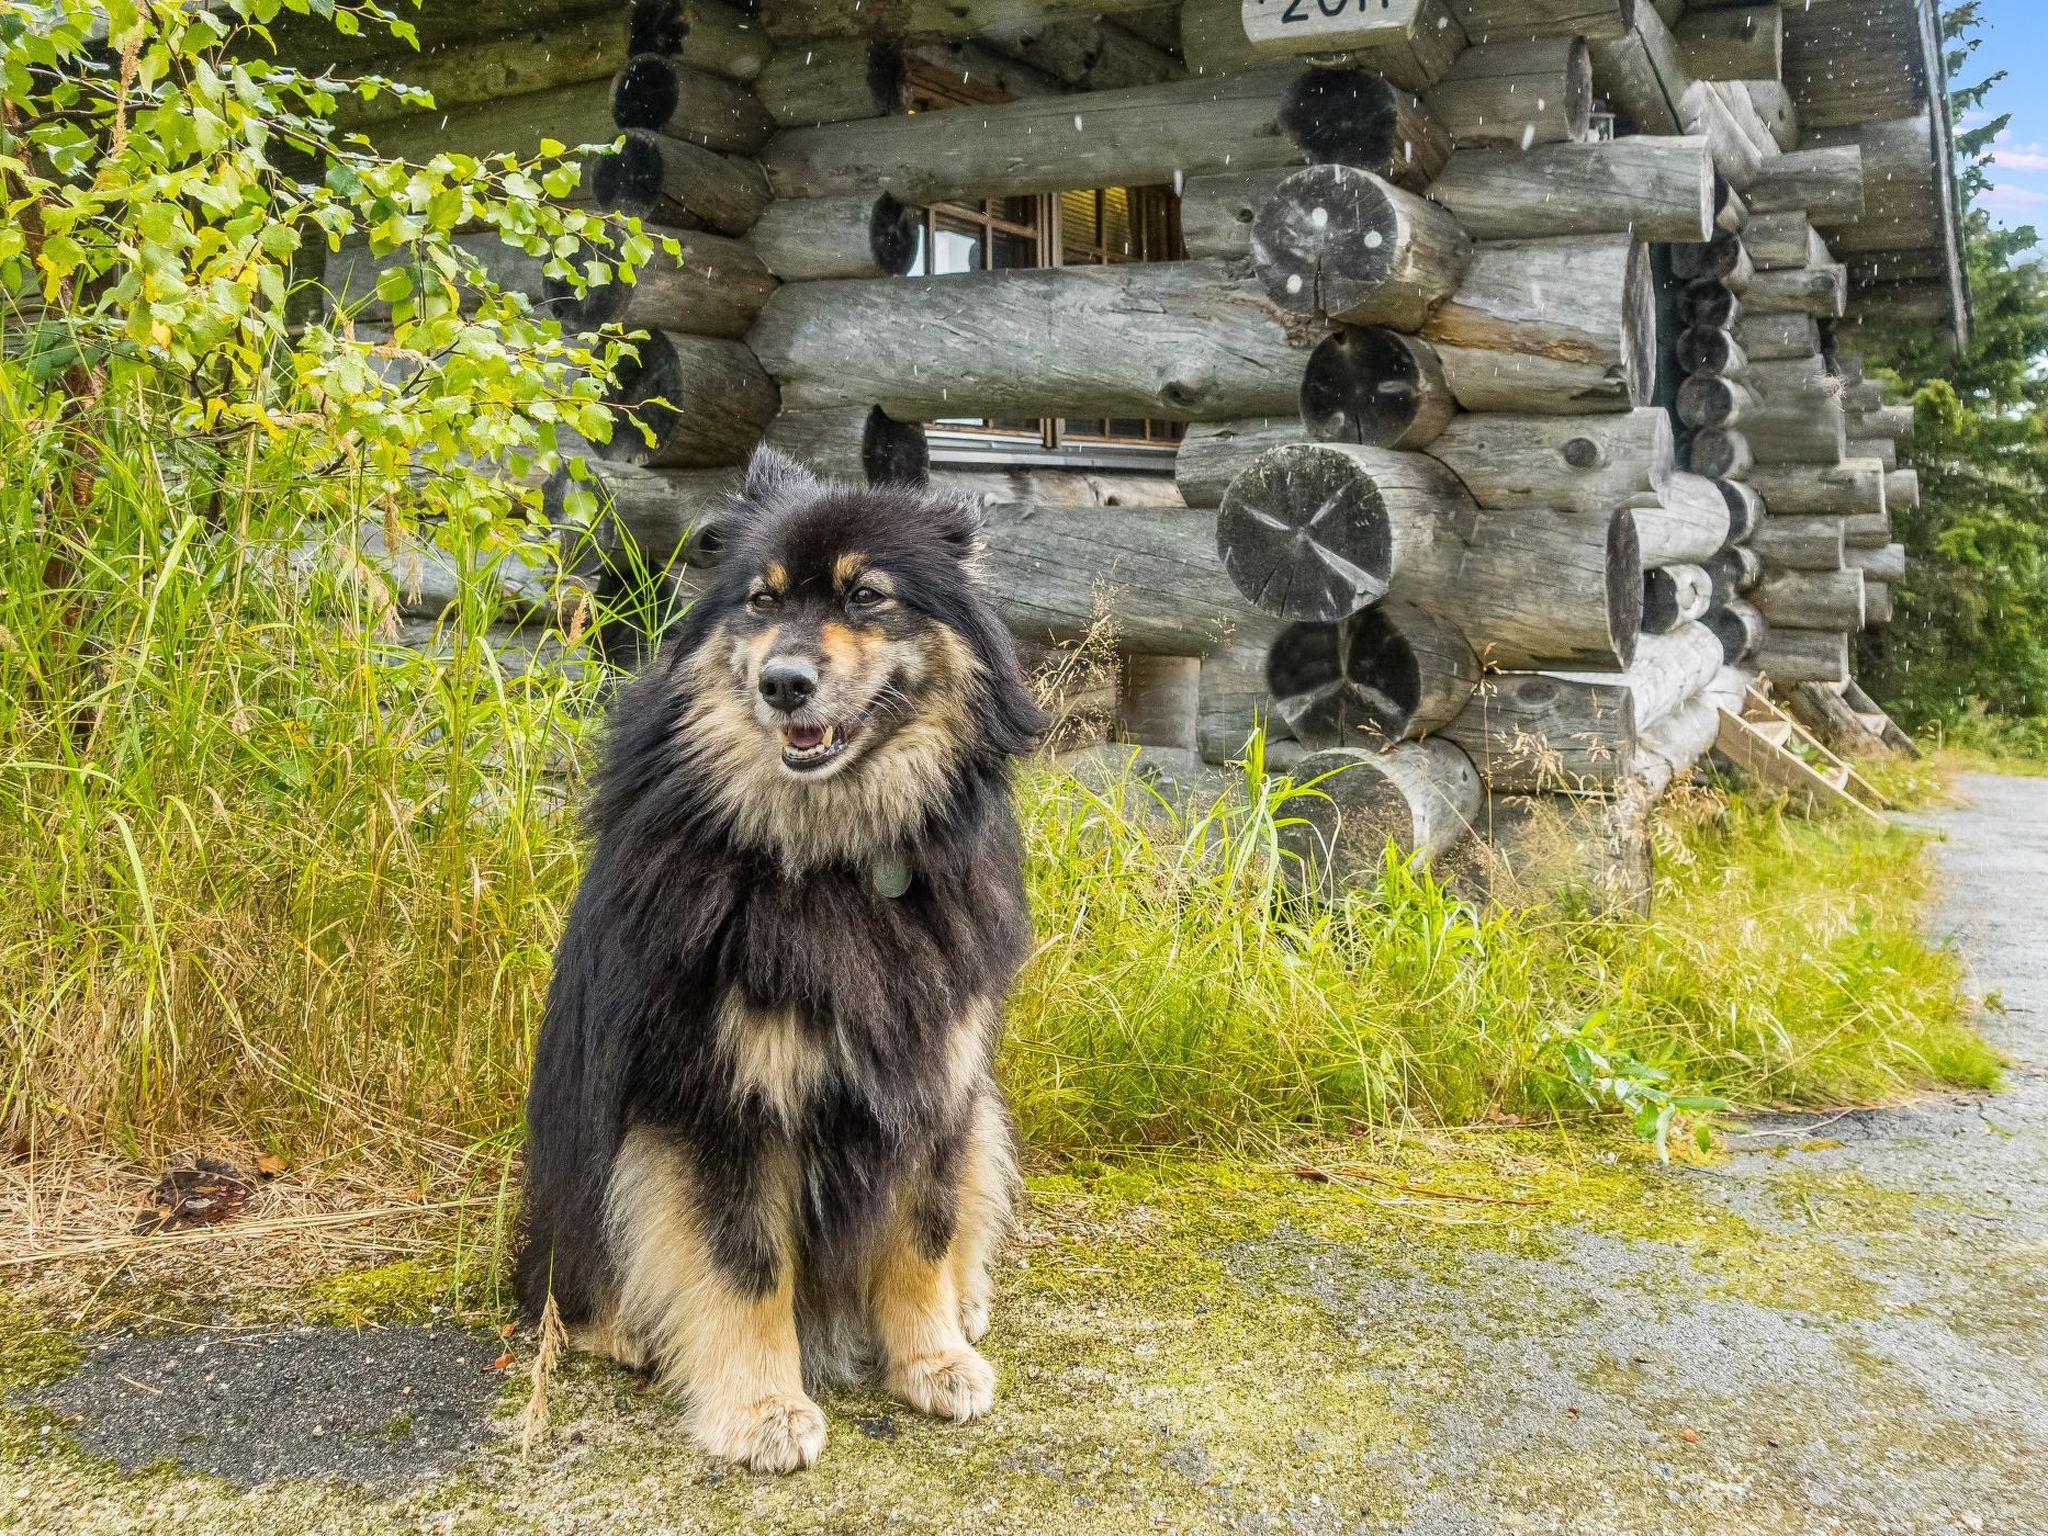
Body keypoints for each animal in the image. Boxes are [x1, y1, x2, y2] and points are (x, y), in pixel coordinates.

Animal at [516, 448, 1040, 1482]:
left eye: (867, 595)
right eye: (760, 601)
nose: (784, 682)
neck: (835, 861)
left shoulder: (934, 1082)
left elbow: (922, 1234)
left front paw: (931, 1361)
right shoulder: (720, 1100)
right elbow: (744, 1265)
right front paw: (762, 1410)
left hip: (983, 1116)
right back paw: (630, 1330)